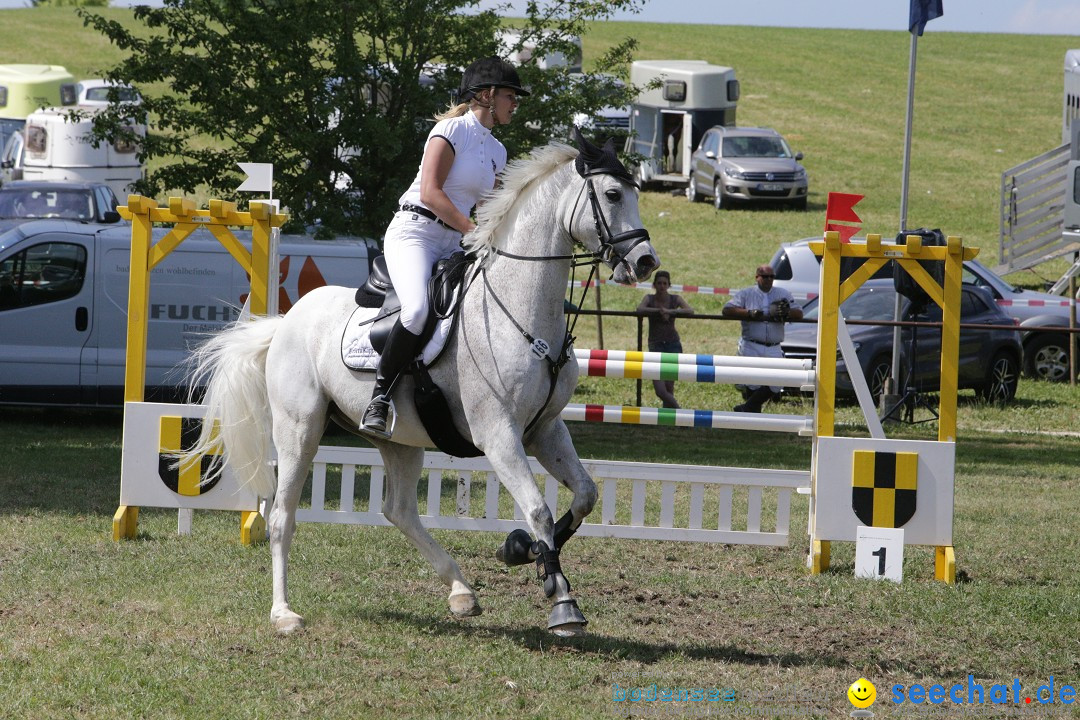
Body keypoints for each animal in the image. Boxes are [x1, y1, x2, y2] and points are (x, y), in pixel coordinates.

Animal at [181, 134, 656, 634]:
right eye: (612, 195)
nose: (646, 262)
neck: (522, 313)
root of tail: (286, 320)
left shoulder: (544, 430)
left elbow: (584, 495)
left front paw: (519, 550)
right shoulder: (499, 434)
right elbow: (538, 509)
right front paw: (562, 601)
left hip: (400, 440)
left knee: (401, 511)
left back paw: (461, 591)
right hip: (299, 430)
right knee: (281, 517)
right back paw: (284, 613)